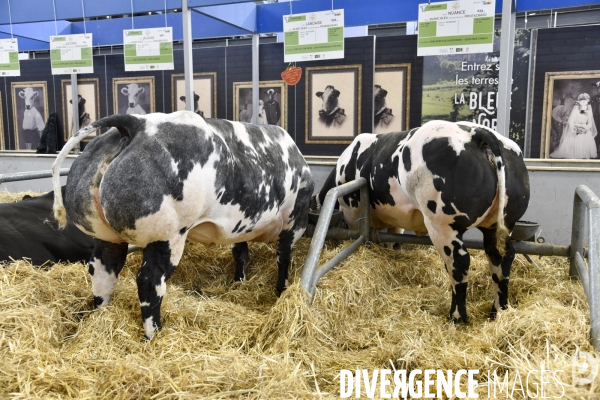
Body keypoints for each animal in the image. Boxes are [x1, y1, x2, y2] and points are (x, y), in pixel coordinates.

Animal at [52, 111, 314, 340]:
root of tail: (137, 123)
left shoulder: (239, 226)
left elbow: (240, 253)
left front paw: (239, 282)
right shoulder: (294, 222)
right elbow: (283, 258)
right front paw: (281, 290)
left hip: (106, 236)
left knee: (103, 269)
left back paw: (101, 313)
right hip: (168, 235)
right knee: (149, 281)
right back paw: (154, 334)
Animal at [314, 120, 528, 324]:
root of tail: (476, 133)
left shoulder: (353, 214)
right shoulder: (396, 220)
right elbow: (394, 242)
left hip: (443, 225)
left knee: (459, 262)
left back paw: (457, 317)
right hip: (500, 225)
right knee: (501, 259)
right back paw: (498, 312)